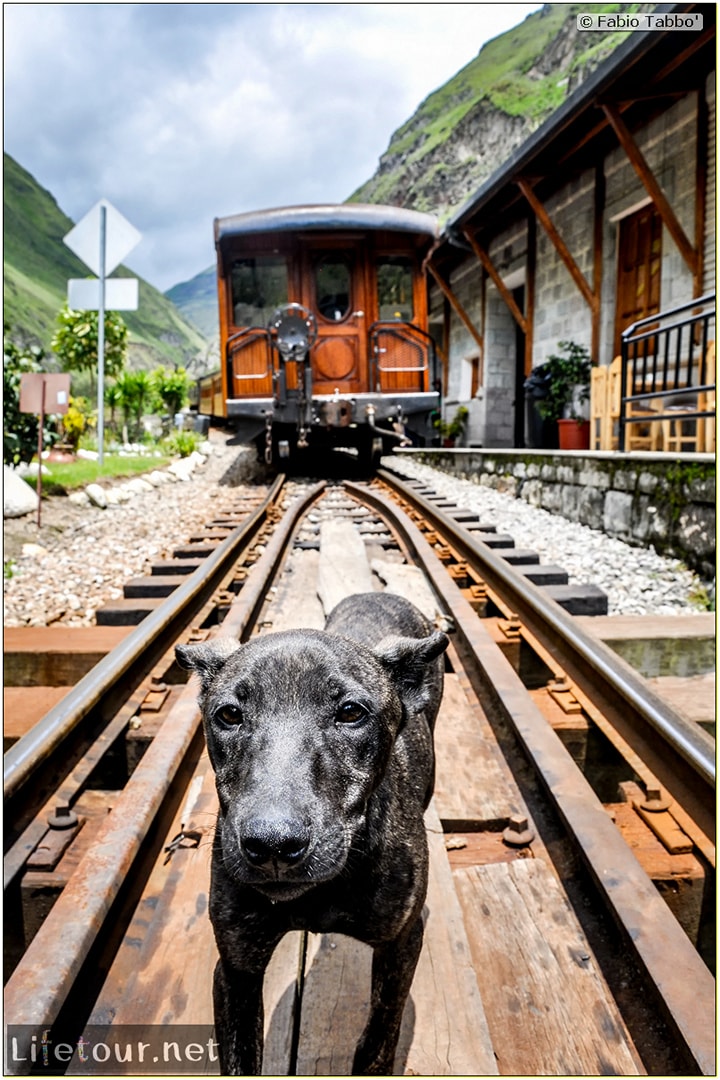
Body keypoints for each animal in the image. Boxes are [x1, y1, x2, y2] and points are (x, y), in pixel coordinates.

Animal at [175, 596, 444, 1075]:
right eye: (229, 714)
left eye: (351, 712)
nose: (272, 845)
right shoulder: (237, 968)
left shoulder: (400, 945)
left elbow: (377, 1042)